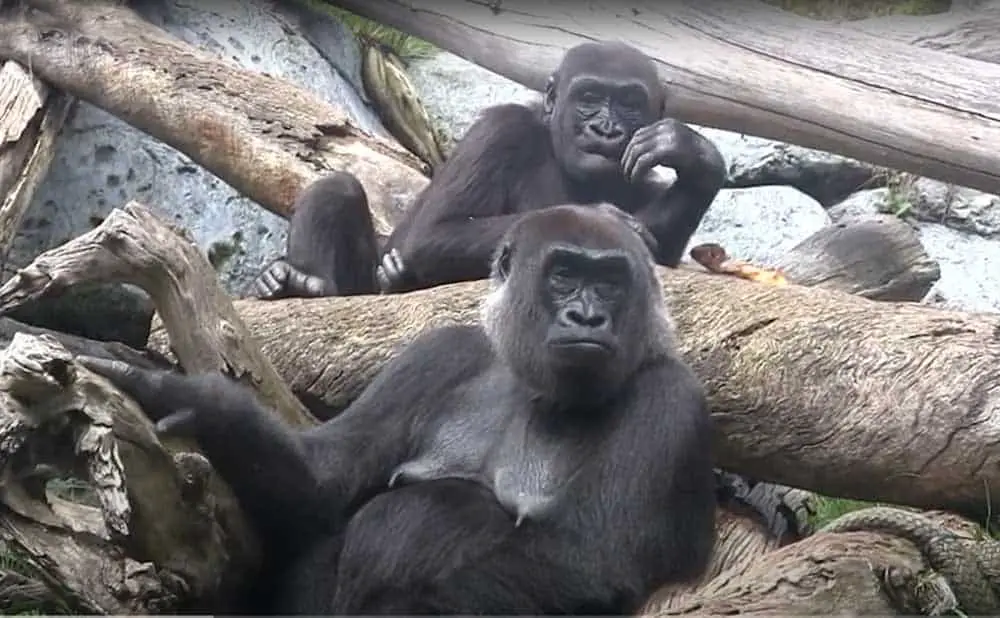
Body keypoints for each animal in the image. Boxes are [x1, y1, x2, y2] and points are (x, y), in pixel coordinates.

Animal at [82, 205, 716, 612]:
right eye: (564, 275)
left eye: (610, 282)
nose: (588, 317)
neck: (532, 384)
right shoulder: (439, 354)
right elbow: (327, 479)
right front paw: (200, 405)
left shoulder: (672, 401)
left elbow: (586, 561)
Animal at [246, 39, 724, 298]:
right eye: (589, 97)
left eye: (629, 103)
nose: (604, 128)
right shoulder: (499, 132)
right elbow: (434, 233)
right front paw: (601, 219)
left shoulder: (646, 182)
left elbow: (661, 252)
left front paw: (696, 158)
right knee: (337, 191)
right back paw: (294, 285)